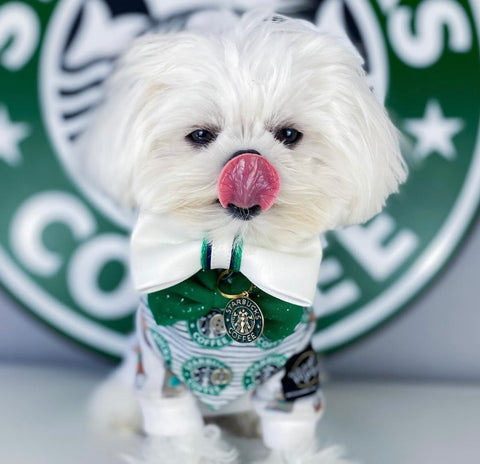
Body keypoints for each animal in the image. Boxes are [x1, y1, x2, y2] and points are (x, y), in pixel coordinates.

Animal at [82, 11, 404, 464]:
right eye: (201, 135)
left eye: (289, 135)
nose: (248, 164)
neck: (230, 259)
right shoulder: (160, 370)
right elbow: (177, 431)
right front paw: (188, 454)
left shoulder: (295, 373)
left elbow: (290, 433)